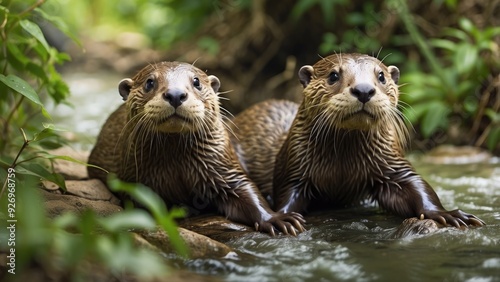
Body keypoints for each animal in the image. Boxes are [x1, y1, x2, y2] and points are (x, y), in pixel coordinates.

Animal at [87, 61, 304, 236]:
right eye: (149, 82)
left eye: (197, 82)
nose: (175, 94)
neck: (176, 169)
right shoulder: (134, 180)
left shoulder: (224, 168)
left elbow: (248, 193)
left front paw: (275, 219)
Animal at [232, 53, 486, 228]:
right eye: (333, 75)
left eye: (381, 76)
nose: (364, 89)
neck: (342, 169)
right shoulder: (294, 166)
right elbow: (286, 195)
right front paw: (280, 218)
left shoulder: (391, 163)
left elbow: (417, 187)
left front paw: (446, 214)